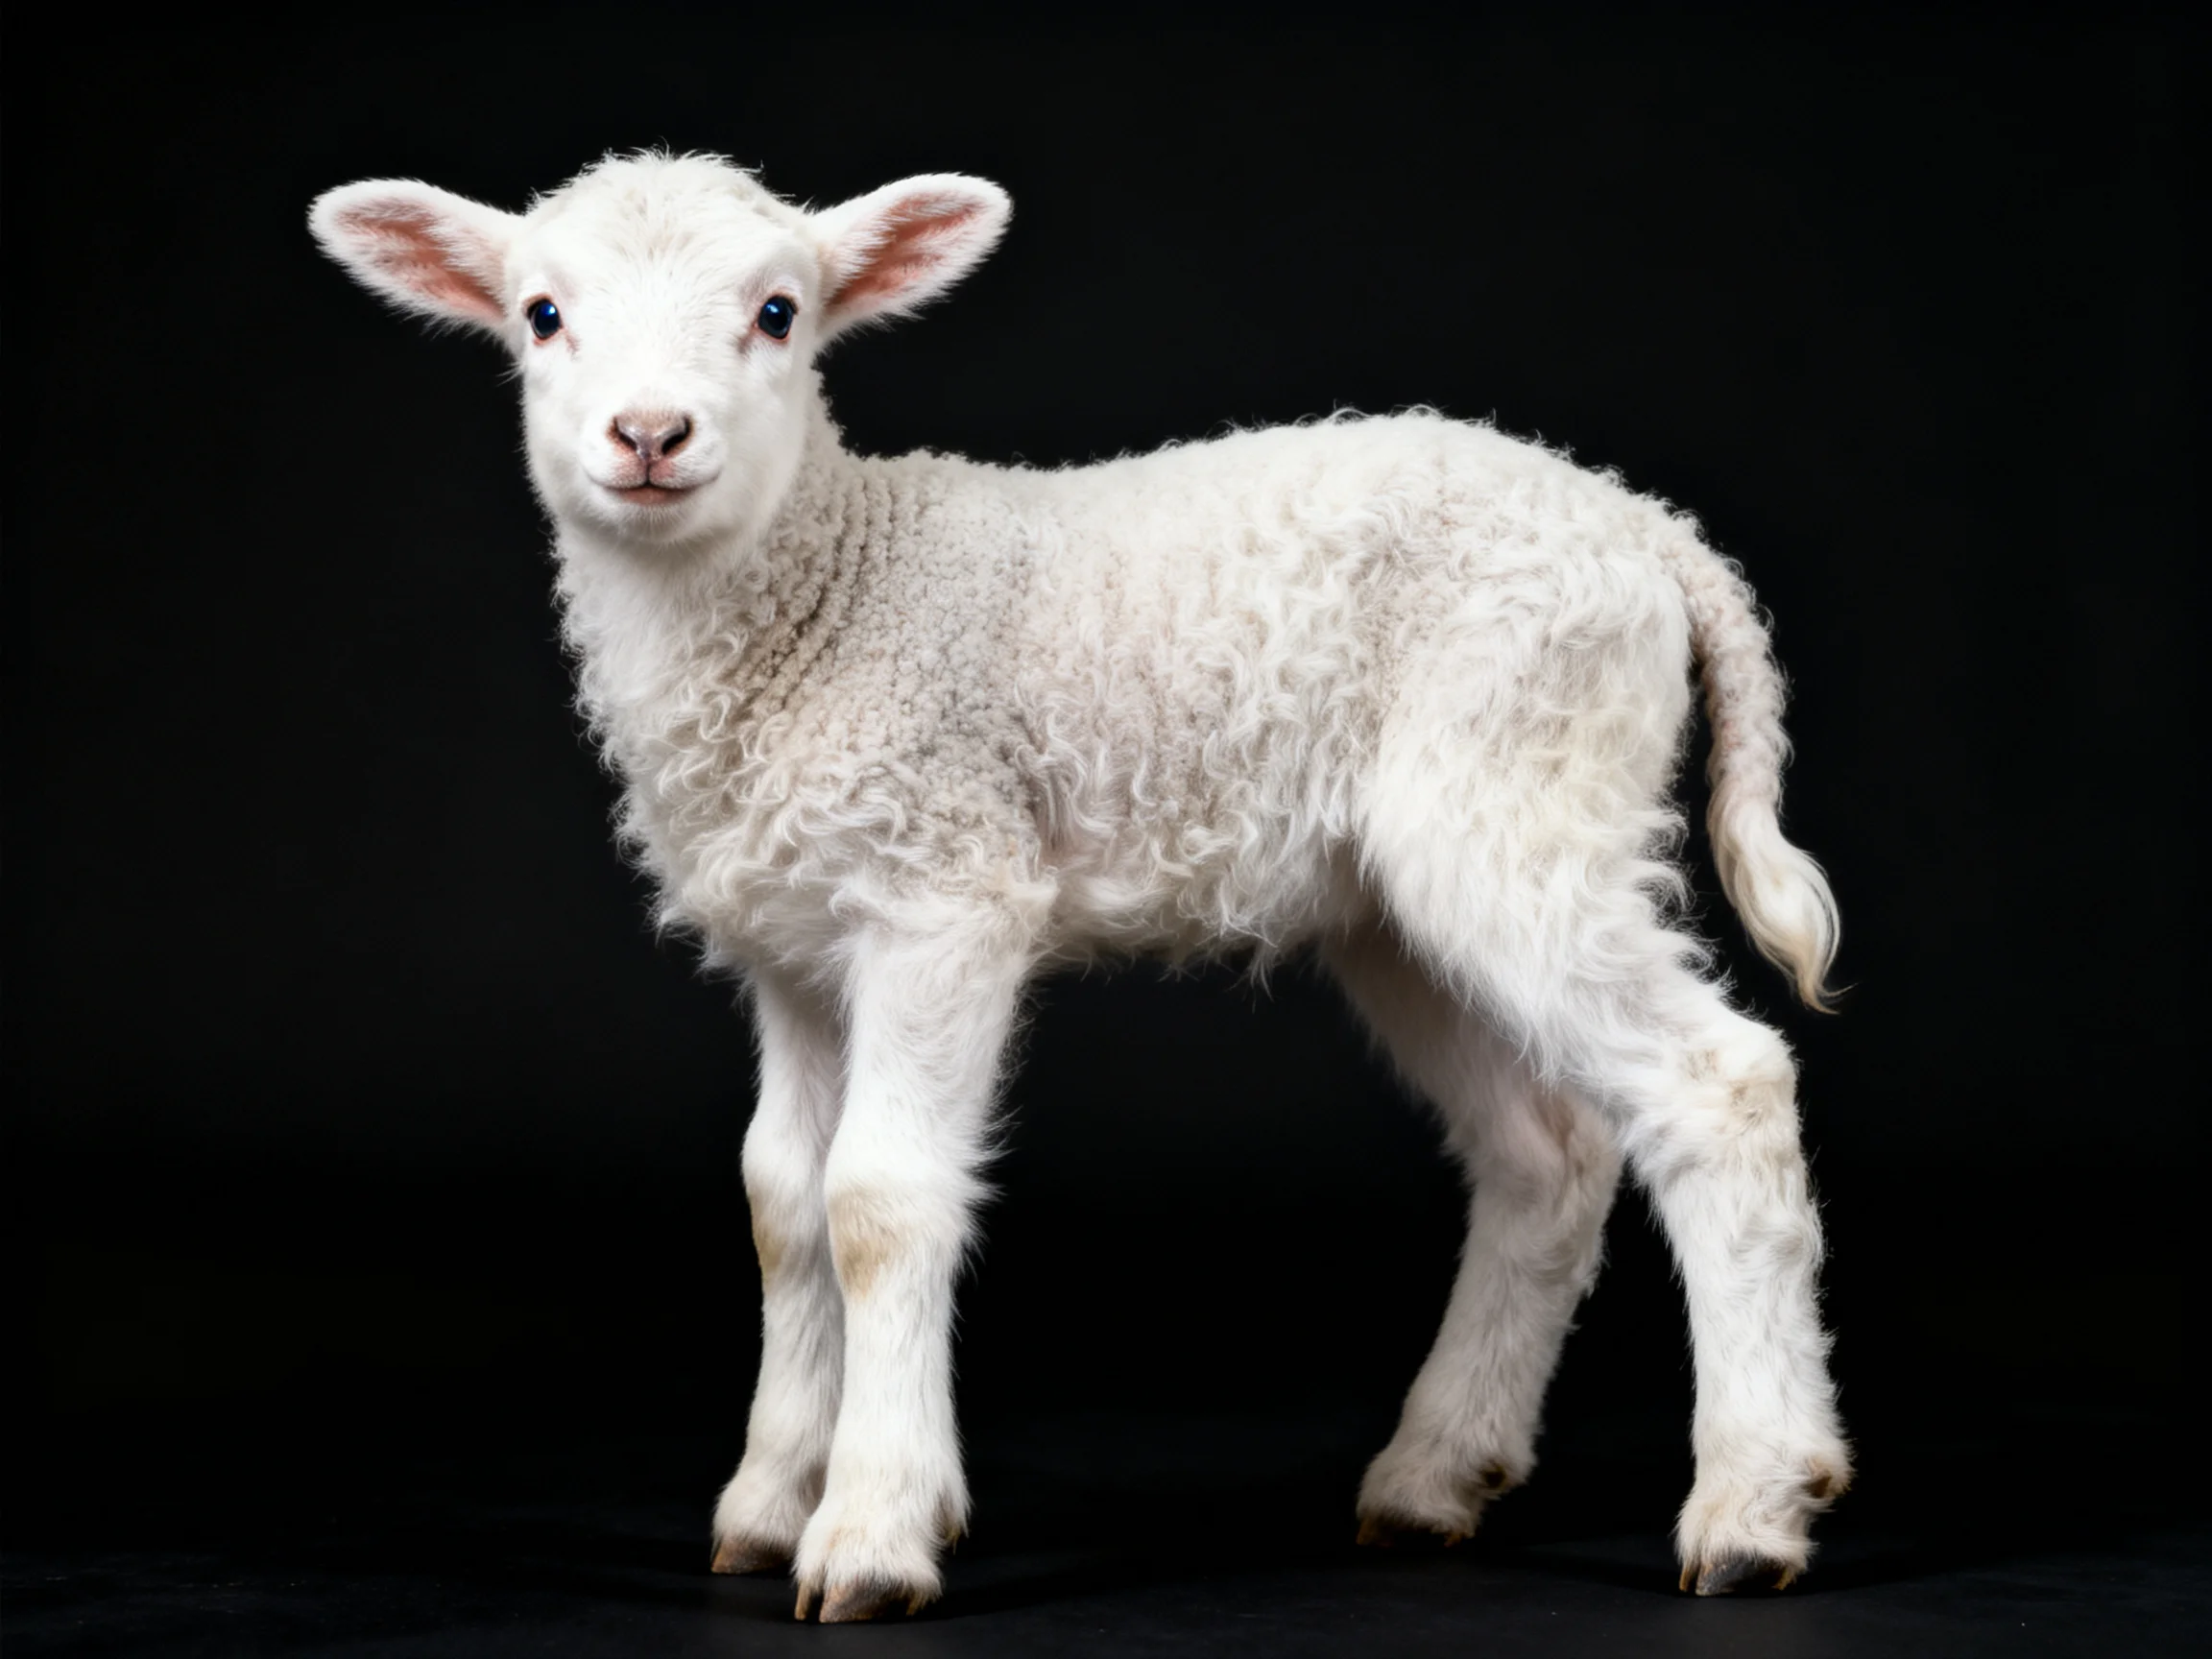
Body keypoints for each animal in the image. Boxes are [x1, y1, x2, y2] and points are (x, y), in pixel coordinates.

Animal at [310, 150, 1852, 1623]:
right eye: (541, 315)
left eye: (779, 312)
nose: (648, 436)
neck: (822, 593)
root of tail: (1646, 531)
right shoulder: (793, 944)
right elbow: (780, 1204)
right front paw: (767, 1502)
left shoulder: (940, 884)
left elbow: (877, 1202)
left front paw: (872, 1528)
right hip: (1405, 890)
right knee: (1547, 1155)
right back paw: (1436, 1473)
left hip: (1522, 788)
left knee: (1718, 1086)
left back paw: (1754, 1502)